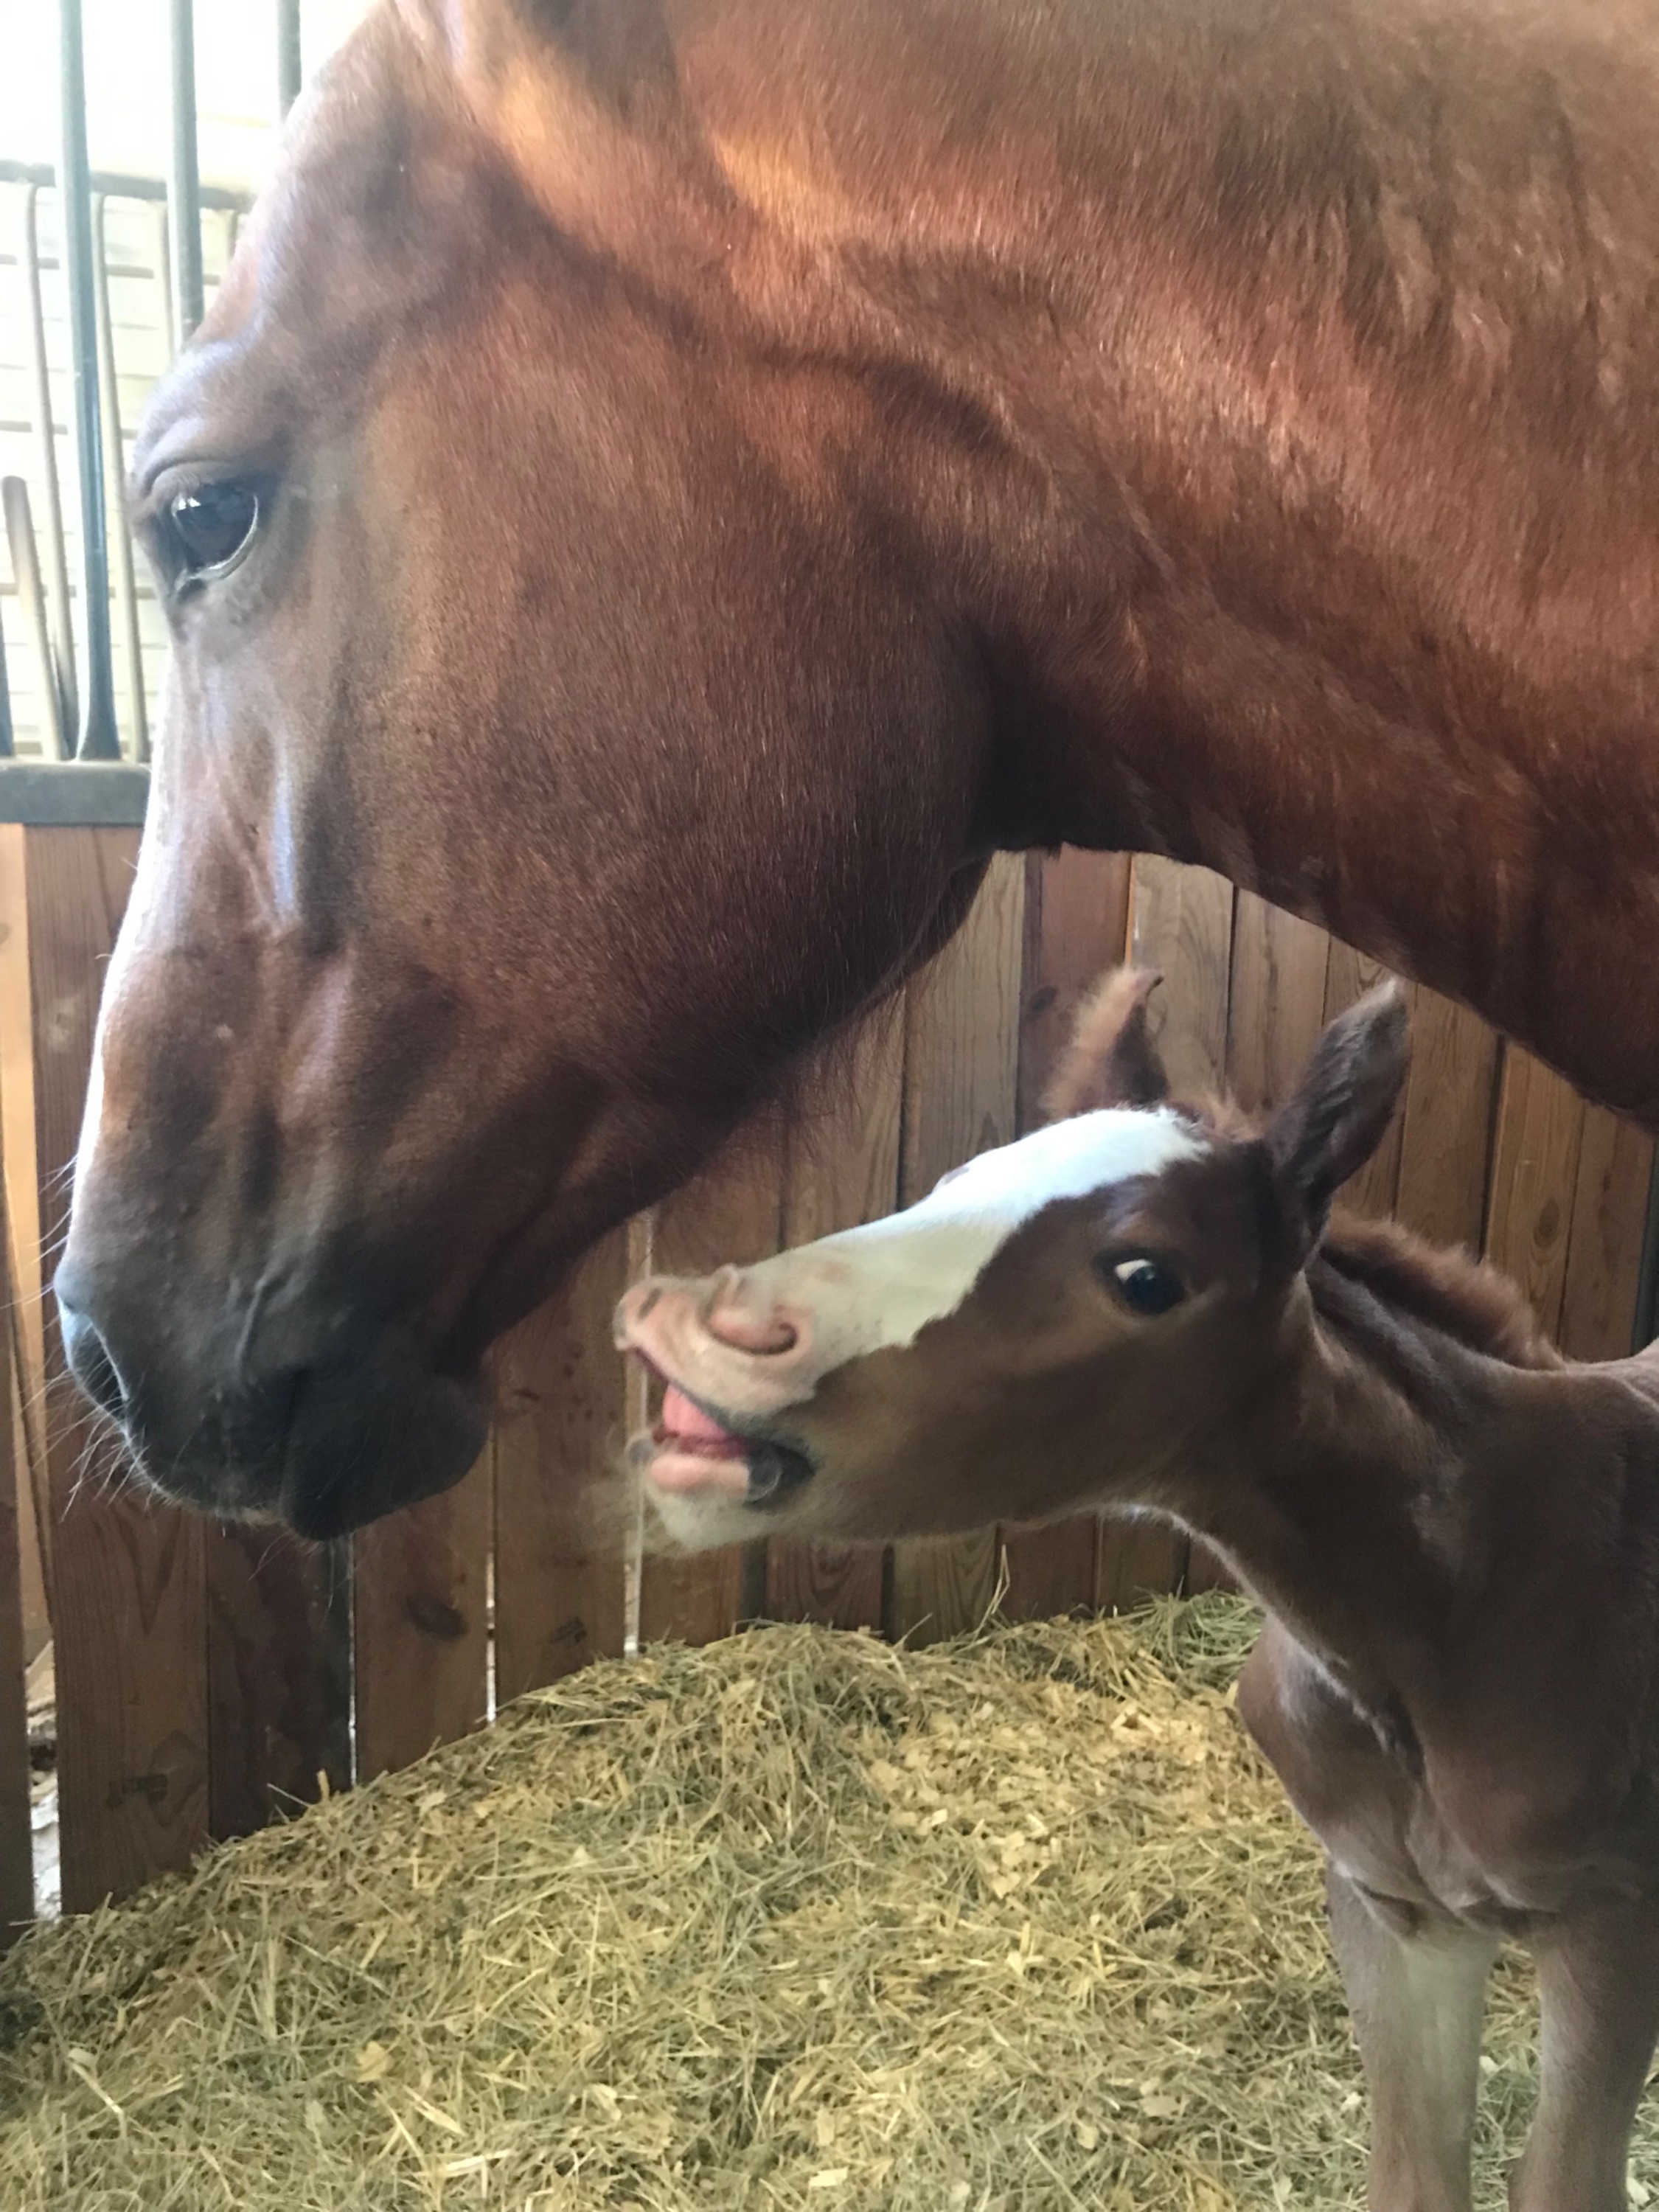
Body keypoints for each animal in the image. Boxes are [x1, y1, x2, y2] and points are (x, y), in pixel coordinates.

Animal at [618, 970, 1659, 2212]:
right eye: (953, 1184)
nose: (706, 1327)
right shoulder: (1395, 1914)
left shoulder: (1613, 1930)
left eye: (1145, 1275)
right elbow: (1411, 2178)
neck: (1454, 1612)